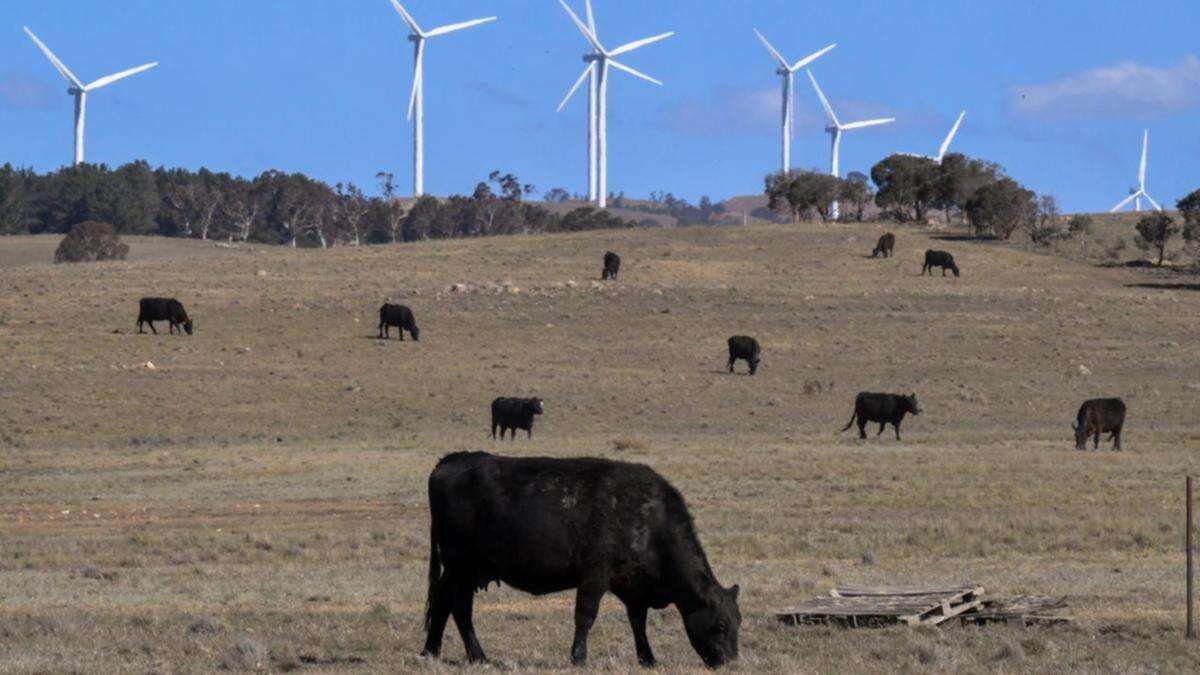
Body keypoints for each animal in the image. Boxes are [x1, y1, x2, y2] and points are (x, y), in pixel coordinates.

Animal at [422, 449, 739, 662]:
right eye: (721, 625)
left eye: (738, 623)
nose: (731, 662)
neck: (648, 519)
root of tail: (452, 460)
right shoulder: (594, 577)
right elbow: (585, 616)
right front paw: (578, 657)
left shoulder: (633, 587)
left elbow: (638, 621)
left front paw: (647, 658)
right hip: (461, 567)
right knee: (458, 606)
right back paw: (478, 656)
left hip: (463, 570)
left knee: (442, 602)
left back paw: (431, 651)